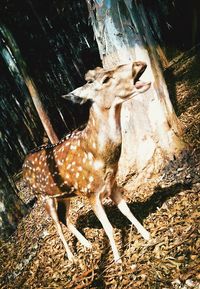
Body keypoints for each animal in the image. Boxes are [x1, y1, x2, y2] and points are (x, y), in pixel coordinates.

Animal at [23, 60, 152, 260]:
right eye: (105, 79)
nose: (138, 63)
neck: (100, 156)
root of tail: (22, 166)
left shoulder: (112, 184)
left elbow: (127, 210)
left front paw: (148, 236)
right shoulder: (91, 192)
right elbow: (108, 227)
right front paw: (117, 259)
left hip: (65, 195)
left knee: (66, 219)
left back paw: (87, 244)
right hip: (44, 197)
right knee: (57, 225)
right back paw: (71, 257)